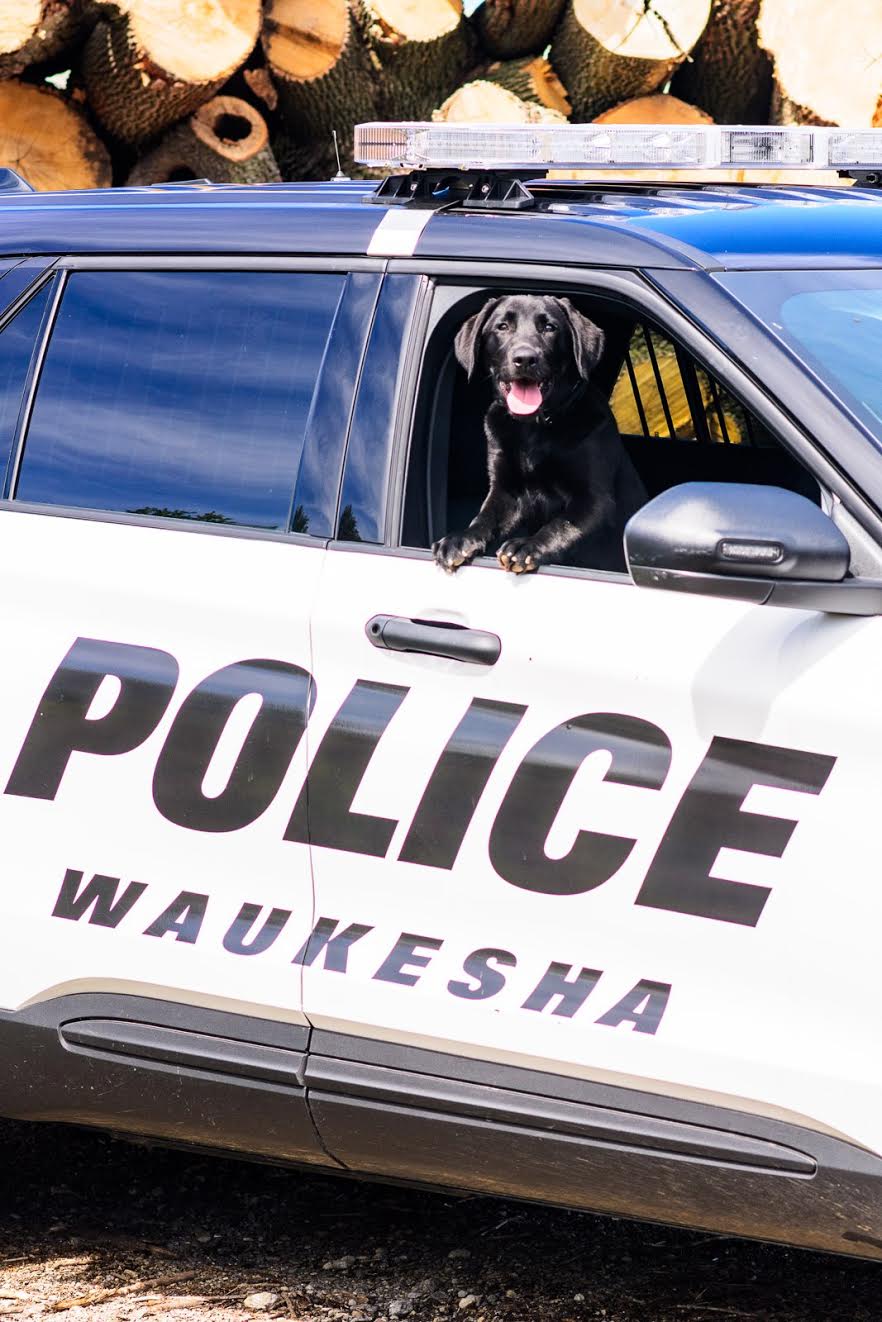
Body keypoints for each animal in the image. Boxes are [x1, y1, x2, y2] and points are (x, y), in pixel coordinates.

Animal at [433, 294, 647, 573]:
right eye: (502, 326)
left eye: (549, 327)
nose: (525, 358)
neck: (533, 428)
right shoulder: (506, 491)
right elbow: (484, 516)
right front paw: (459, 539)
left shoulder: (595, 499)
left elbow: (561, 525)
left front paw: (527, 545)